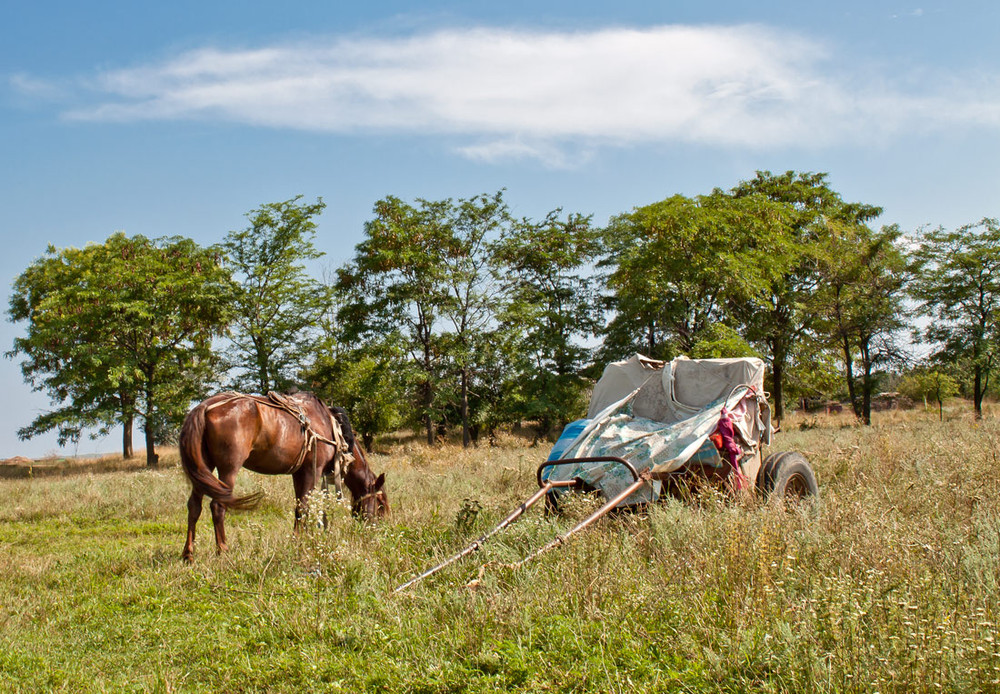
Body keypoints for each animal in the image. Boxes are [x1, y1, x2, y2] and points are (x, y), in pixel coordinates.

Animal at [180, 392, 386, 564]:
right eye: (380, 503)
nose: (376, 530)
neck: (329, 425)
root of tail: (205, 406)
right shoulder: (312, 471)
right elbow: (303, 507)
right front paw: (298, 542)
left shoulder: (299, 473)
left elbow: (299, 507)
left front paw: (303, 538)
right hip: (228, 469)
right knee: (218, 506)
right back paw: (222, 549)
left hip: (203, 469)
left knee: (194, 507)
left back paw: (188, 554)